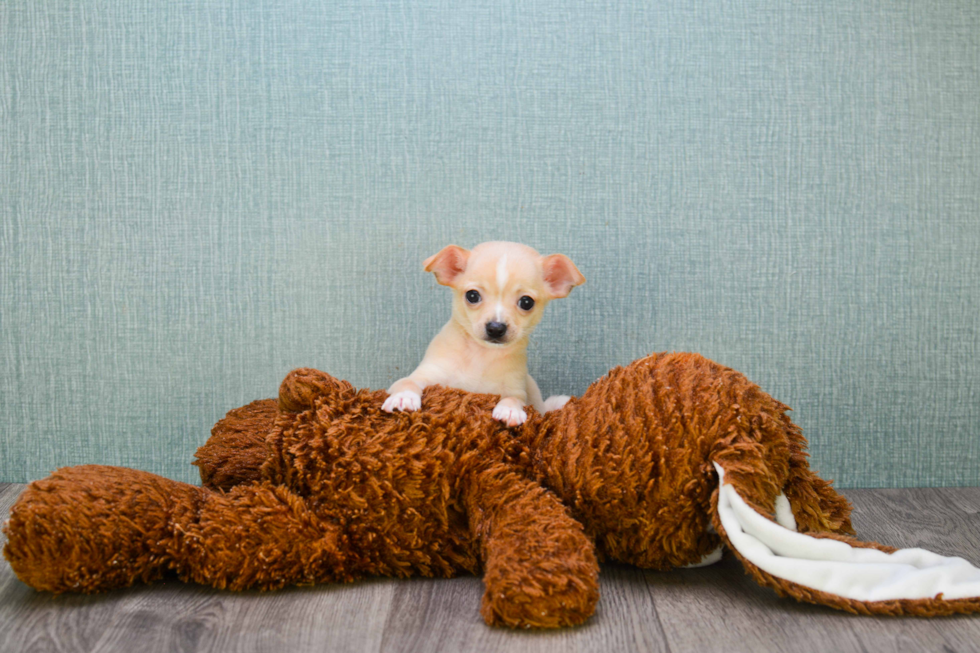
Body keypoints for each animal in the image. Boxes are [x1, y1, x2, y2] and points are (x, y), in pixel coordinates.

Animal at [380, 242, 580, 426]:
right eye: (472, 296)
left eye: (526, 302)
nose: (496, 328)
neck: (481, 354)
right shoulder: (427, 375)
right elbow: (408, 382)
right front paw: (403, 397)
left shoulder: (515, 389)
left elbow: (513, 399)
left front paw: (509, 410)